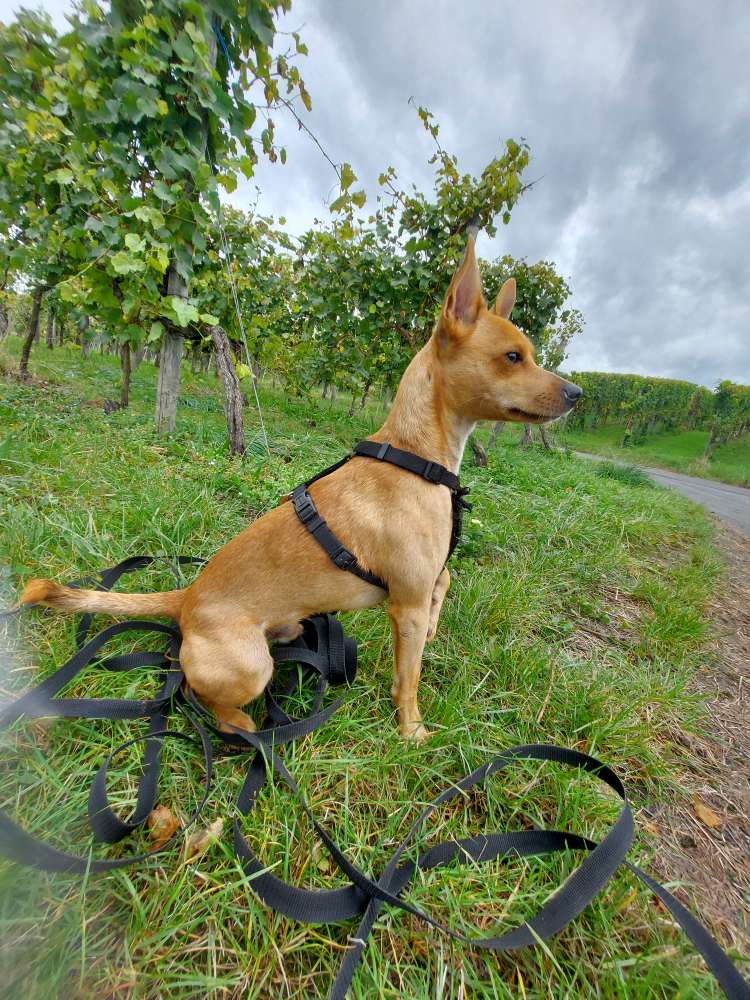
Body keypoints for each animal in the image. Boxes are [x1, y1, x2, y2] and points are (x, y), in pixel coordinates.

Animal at [17, 230, 580, 740]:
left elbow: (444, 583)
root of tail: (187, 597)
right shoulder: (405, 603)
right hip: (251, 666)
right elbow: (409, 679)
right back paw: (241, 725)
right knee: (194, 690)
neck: (415, 456)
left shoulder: (423, 583)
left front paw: (436, 629)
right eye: (512, 357)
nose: (578, 393)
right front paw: (412, 732)